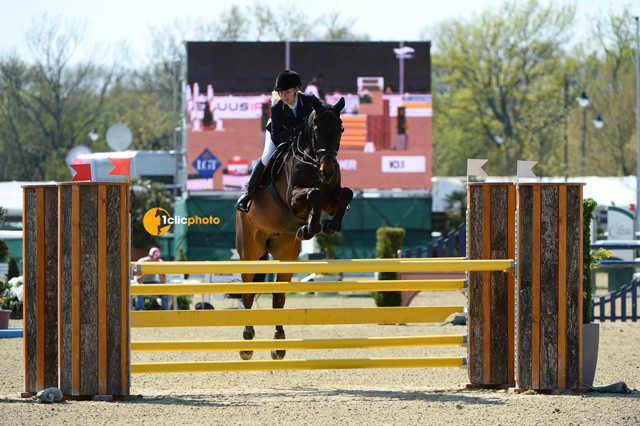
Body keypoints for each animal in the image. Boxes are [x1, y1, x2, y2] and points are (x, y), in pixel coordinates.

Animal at [236, 96, 356, 360]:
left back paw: (279, 343)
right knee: (247, 293)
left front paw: (327, 225)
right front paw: (312, 226)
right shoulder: (294, 198)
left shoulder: (332, 196)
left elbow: (344, 194)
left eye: (340, 129)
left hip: (285, 253)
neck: (312, 162)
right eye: (316, 130)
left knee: (279, 297)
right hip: (250, 250)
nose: (327, 171)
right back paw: (247, 342)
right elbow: (314, 194)